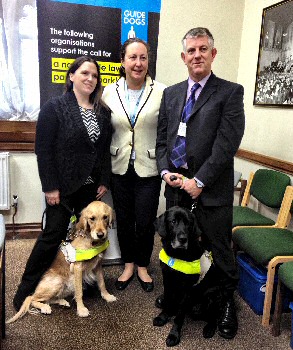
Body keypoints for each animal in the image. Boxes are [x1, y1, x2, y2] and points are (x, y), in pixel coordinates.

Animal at [153, 206, 221, 346]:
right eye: (173, 221)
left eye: (188, 223)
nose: (183, 239)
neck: (177, 255)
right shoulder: (167, 280)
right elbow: (167, 301)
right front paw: (163, 316)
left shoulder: (186, 290)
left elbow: (179, 317)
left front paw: (174, 335)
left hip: (212, 296)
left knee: (213, 317)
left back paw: (209, 329)